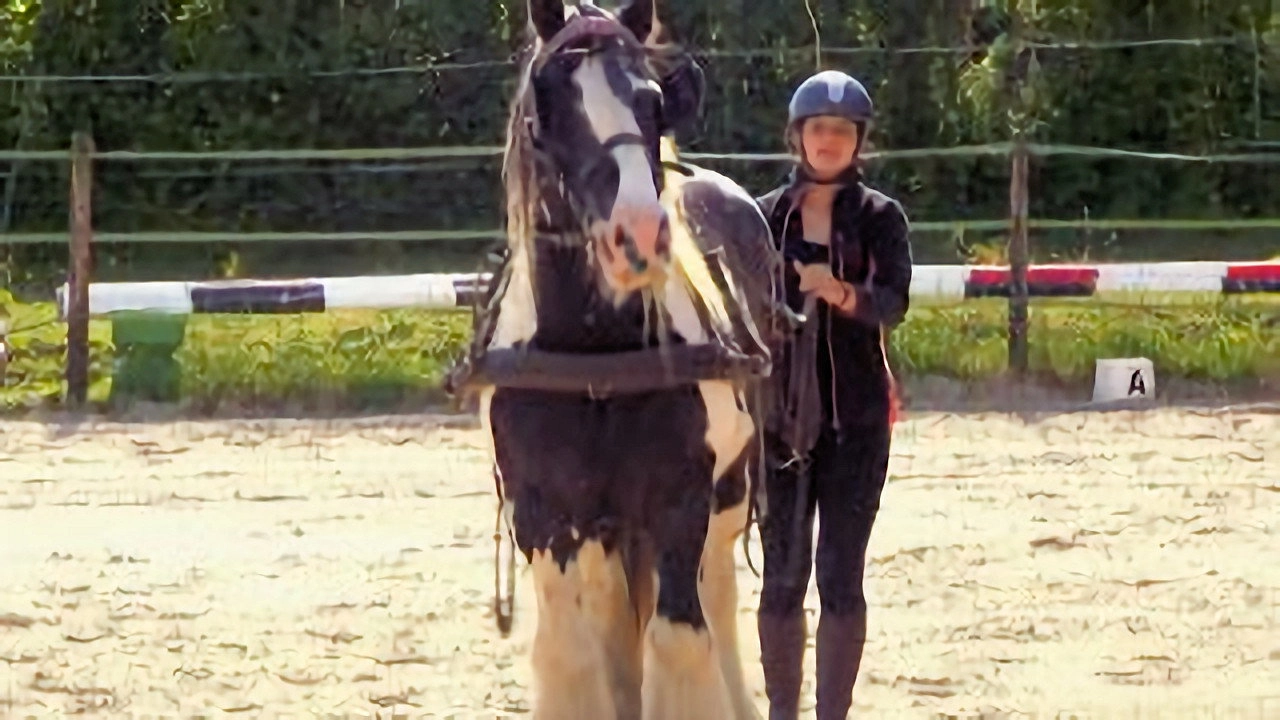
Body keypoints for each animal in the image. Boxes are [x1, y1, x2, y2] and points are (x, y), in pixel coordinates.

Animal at [450, 1, 784, 718]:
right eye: (549, 100)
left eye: (651, 100)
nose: (639, 233)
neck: (597, 359)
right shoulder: (543, 511)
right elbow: (572, 651)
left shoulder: (680, 501)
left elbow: (679, 638)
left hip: (729, 494)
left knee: (715, 597)